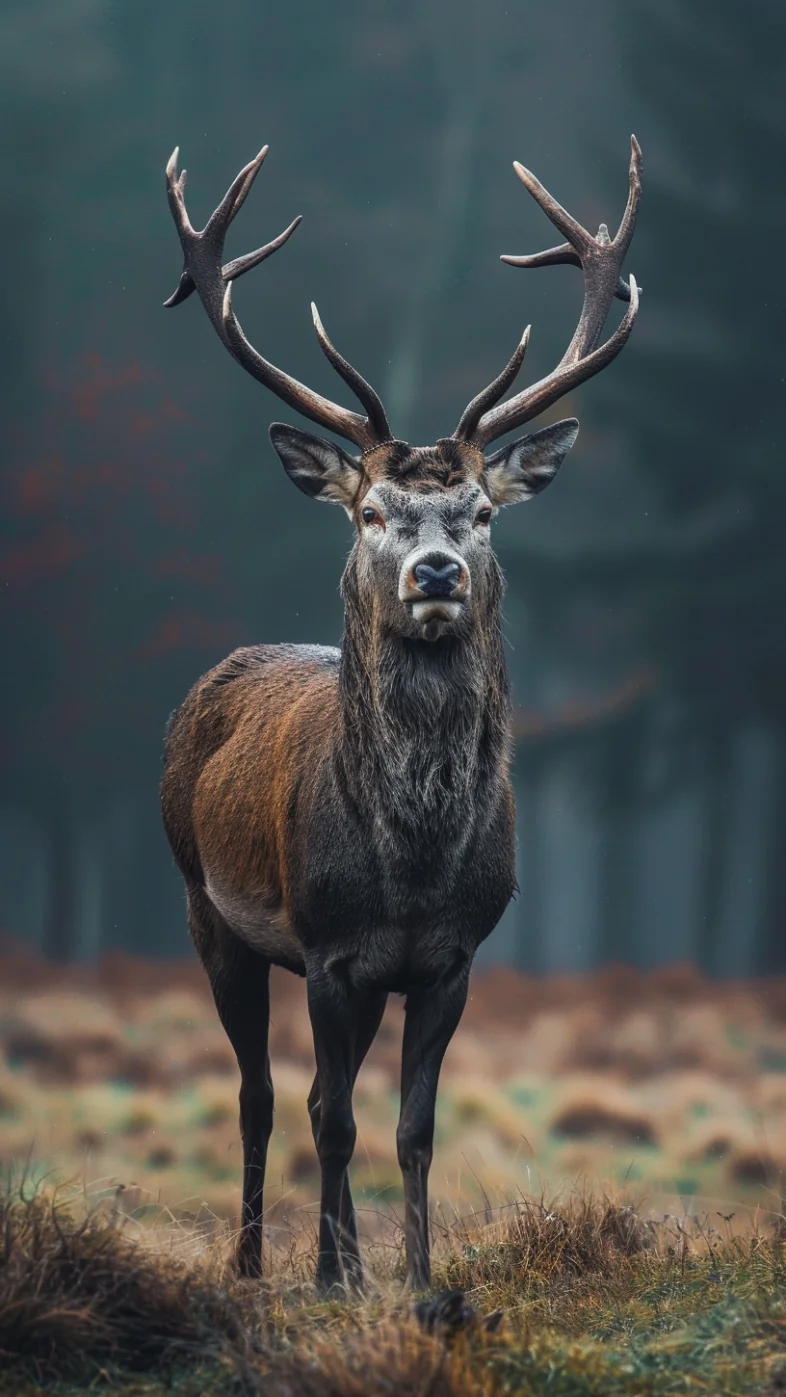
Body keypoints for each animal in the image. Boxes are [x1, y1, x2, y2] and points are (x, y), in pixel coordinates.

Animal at [160, 133, 641, 1293]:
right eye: (373, 510)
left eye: (480, 512)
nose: (435, 571)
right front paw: (334, 1280)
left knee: (316, 1094)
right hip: (208, 910)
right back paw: (257, 1263)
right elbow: (332, 1120)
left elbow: (413, 1126)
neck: (412, 862)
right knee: (263, 1094)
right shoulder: (331, 947)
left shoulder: (447, 958)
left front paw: (415, 1279)